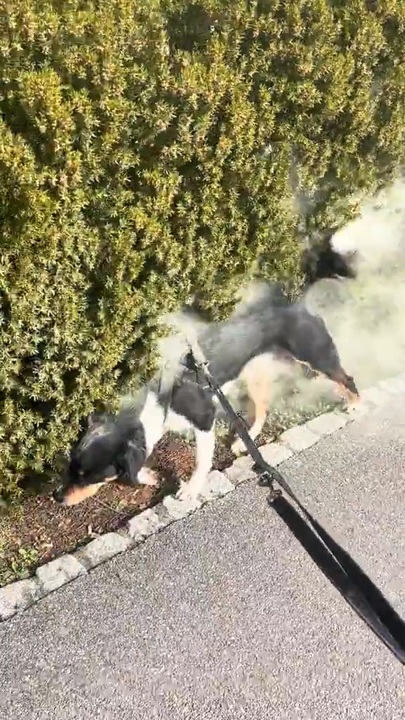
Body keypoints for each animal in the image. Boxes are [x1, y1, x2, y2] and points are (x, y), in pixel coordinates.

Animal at [53, 252, 359, 507]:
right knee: (262, 409)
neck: (158, 394)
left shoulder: (204, 418)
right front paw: (149, 476)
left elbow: (201, 461)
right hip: (253, 373)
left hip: (315, 355)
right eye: (70, 469)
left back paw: (355, 405)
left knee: (347, 378)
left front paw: (190, 489)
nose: (57, 497)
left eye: (87, 475)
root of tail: (297, 301)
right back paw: (244, 442)